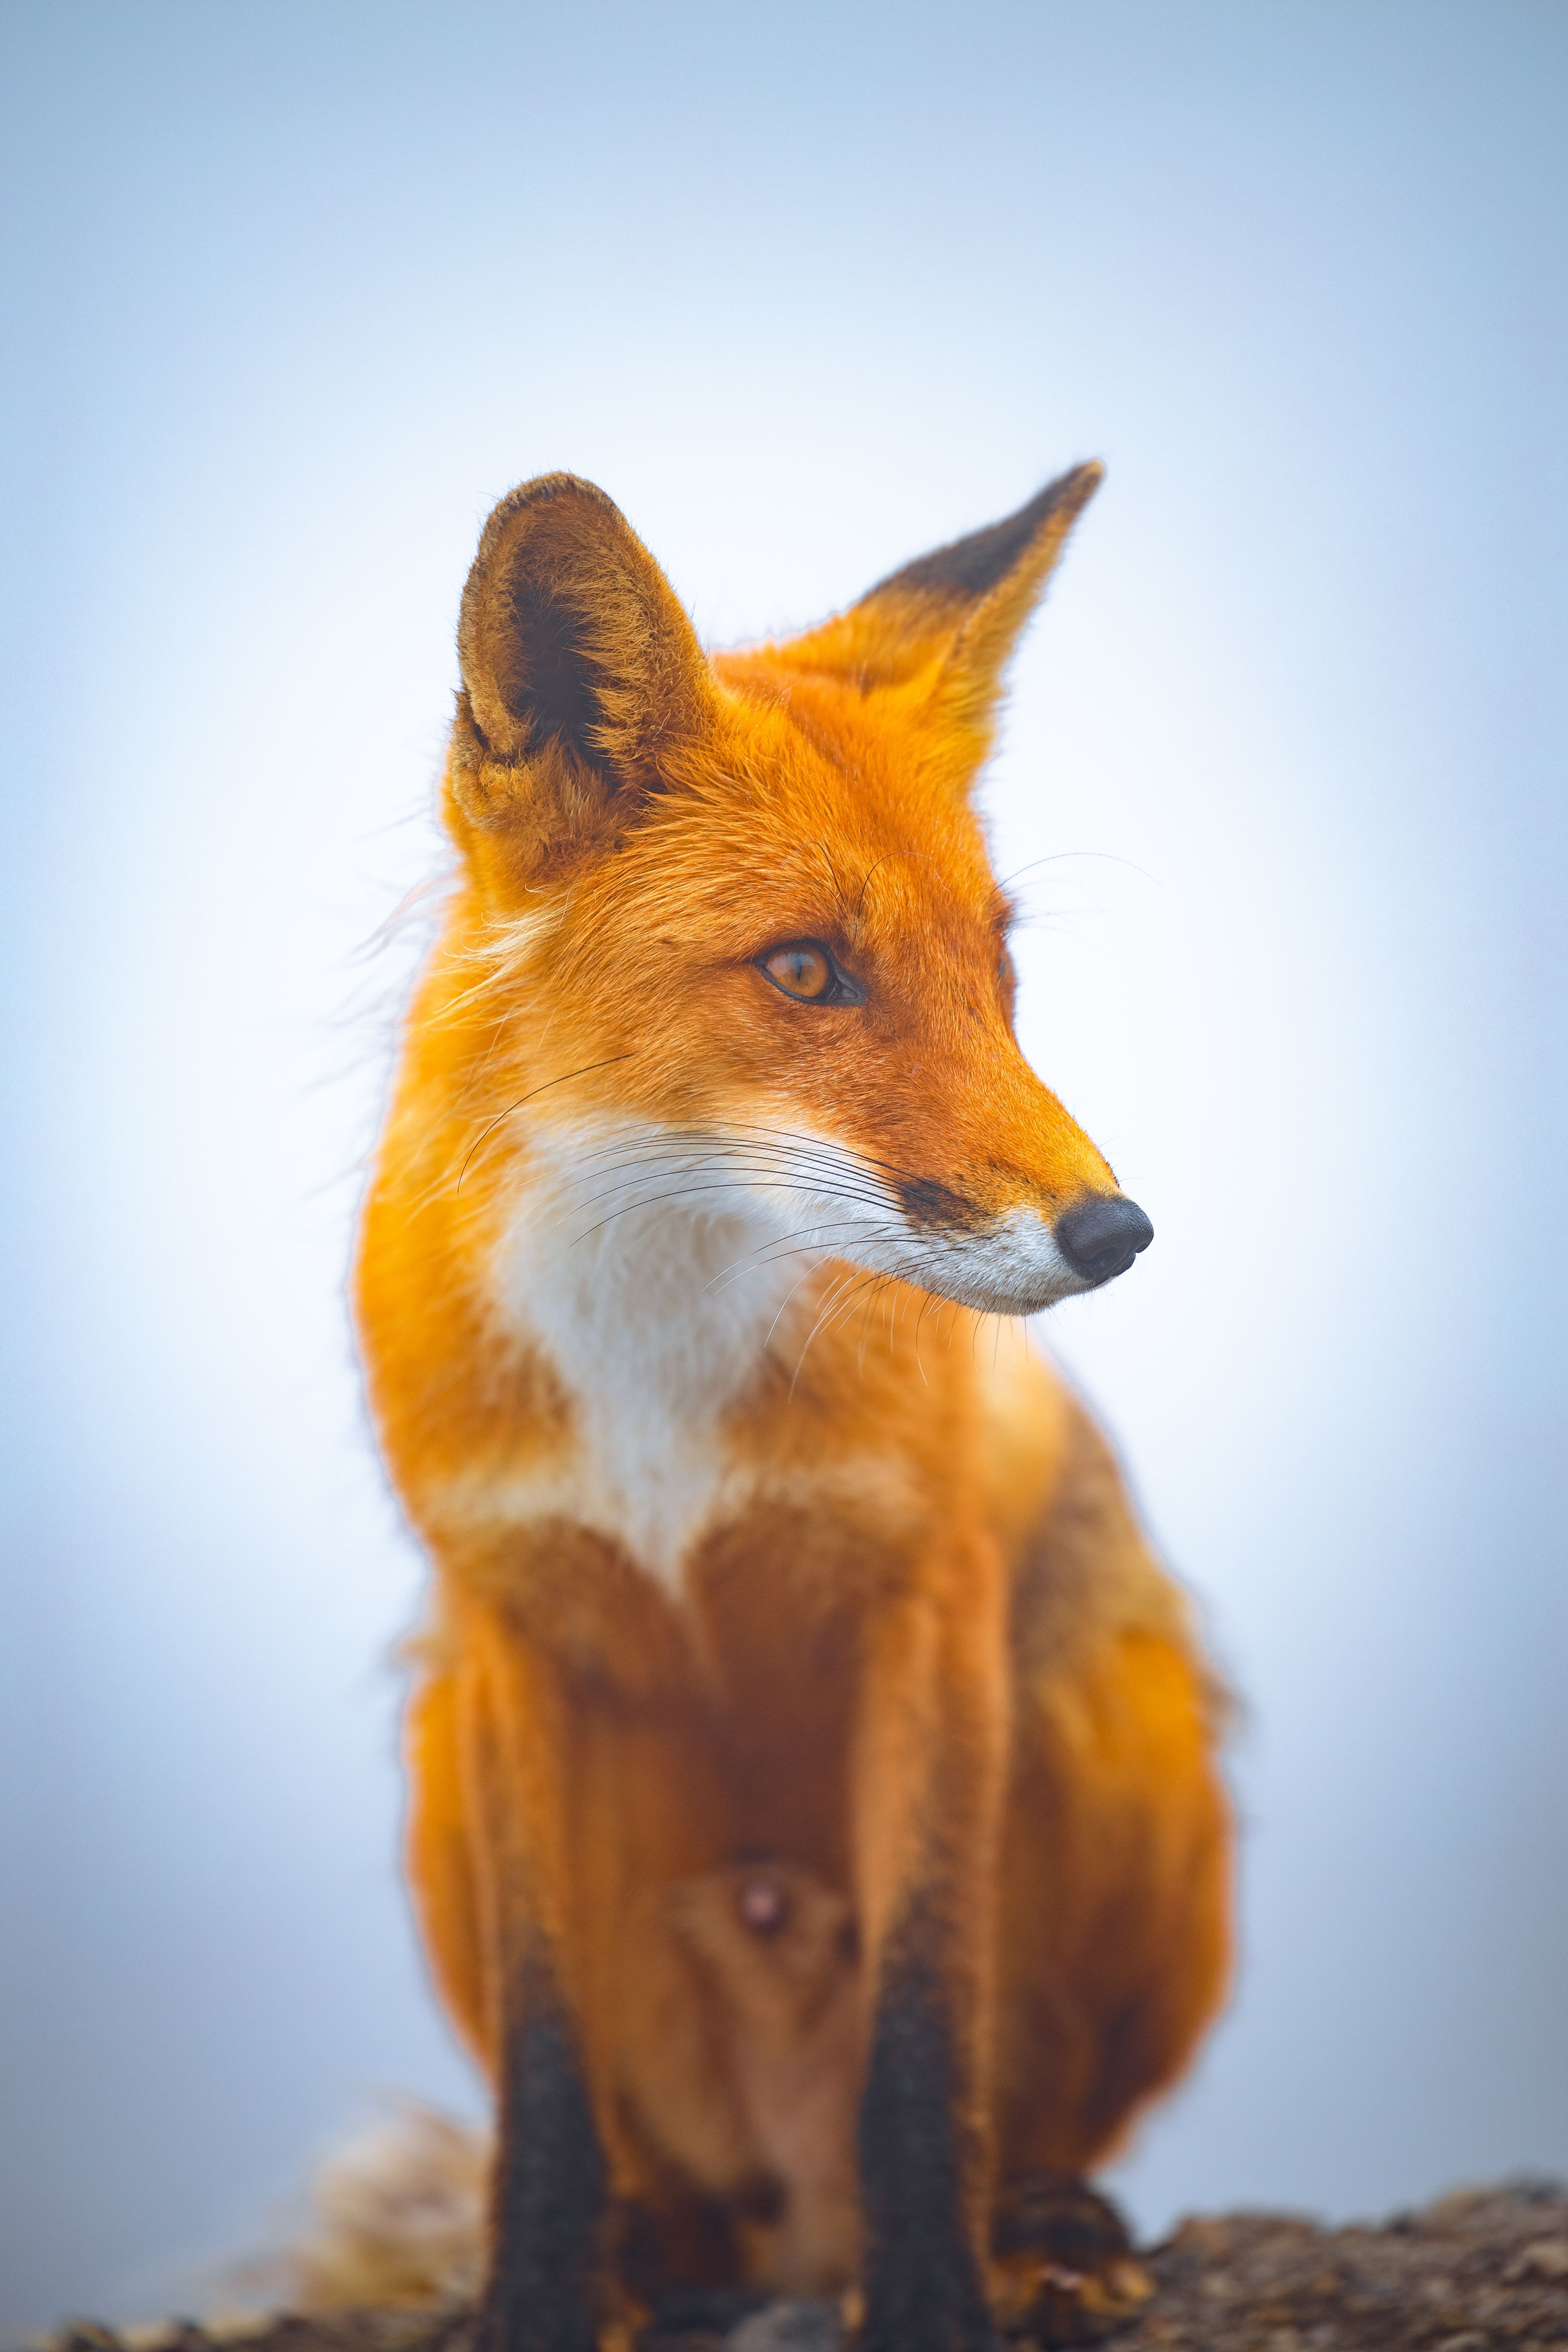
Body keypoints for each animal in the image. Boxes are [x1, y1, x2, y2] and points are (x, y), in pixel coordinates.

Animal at [351, 465, 1233, 2352]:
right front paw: (537, 2298)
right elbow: (547, 2079)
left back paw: (1040, 2227)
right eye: (809, 971)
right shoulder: (511, 1627)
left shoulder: (924, 1604)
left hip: (1115, 1707)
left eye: (997, 969)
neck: (656, 1374)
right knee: (650, 2174)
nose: (1113, 1232)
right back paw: (651, 2261)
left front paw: (931, 2303)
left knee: (1016, 2116)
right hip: (437, 1752)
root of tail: (780, 2223)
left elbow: (919, 2042)